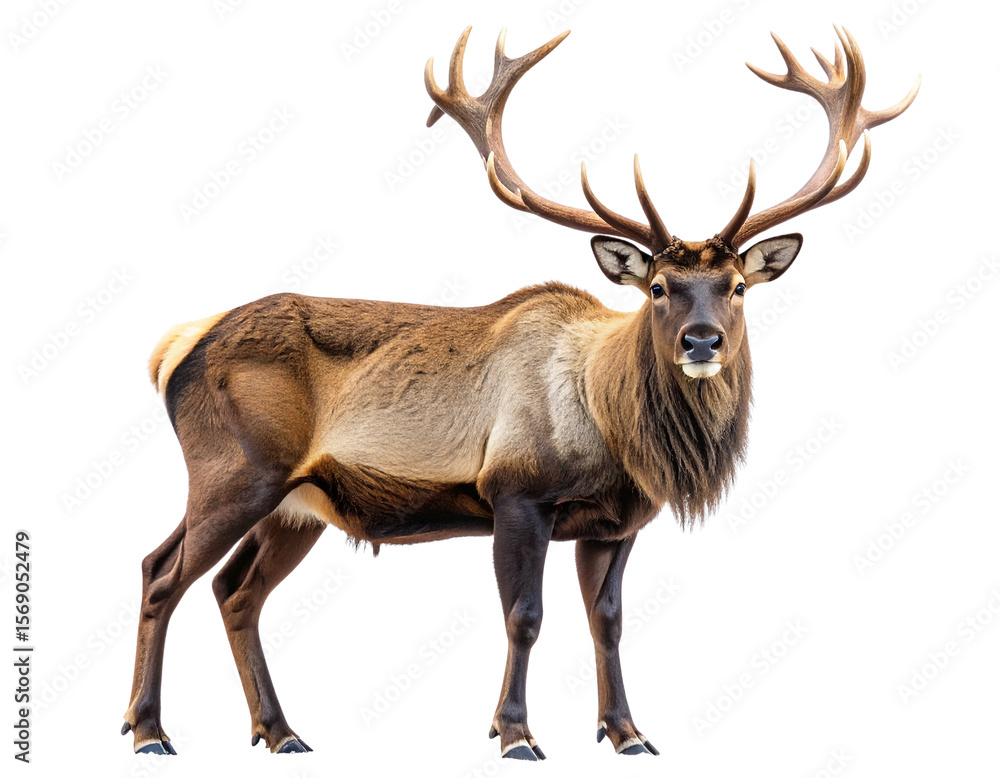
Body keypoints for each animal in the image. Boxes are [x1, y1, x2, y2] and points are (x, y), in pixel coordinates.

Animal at [122, 25, 918, 760]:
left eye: (738, 287)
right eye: (659, 287)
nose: (702, 341)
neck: (615, 432)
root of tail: (177, 347)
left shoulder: (616, 522)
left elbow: (608, 620)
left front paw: (627, 732)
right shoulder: (515, 492)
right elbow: (525, 616)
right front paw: (515, 734)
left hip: (298, 506)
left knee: (236, 591)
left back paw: (280, 731)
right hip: (234, 471)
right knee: (162, 571)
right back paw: (149, 730)